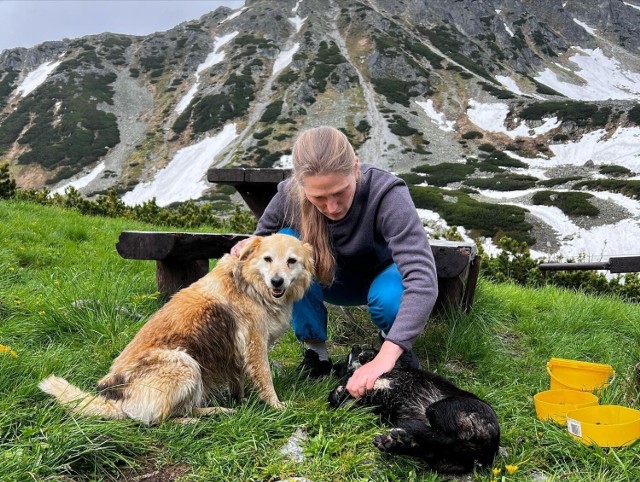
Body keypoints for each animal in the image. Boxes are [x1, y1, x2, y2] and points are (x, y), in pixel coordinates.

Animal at [38, 233, 314, 422]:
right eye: (267, 259)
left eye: (291, 261)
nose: (277, 282)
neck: (250, 284)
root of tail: (119, 400)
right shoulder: (255, 344)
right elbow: (265, 378)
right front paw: (276, 406)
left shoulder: (235, 351)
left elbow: (238, 378)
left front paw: (242, 399)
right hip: (185, 363)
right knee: (159, 420)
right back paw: (192, 421)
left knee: (183, 407)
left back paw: (214, 410)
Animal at [330, 346, 500, 474]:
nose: (355, 347)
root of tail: (489, 452)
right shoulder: (368, 403)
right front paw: (338, 393)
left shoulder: (396, 366)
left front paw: (368, 355)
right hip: (441, 452)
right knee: (438, 444)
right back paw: (398, 442)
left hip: (438, 409)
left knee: (443, 438)